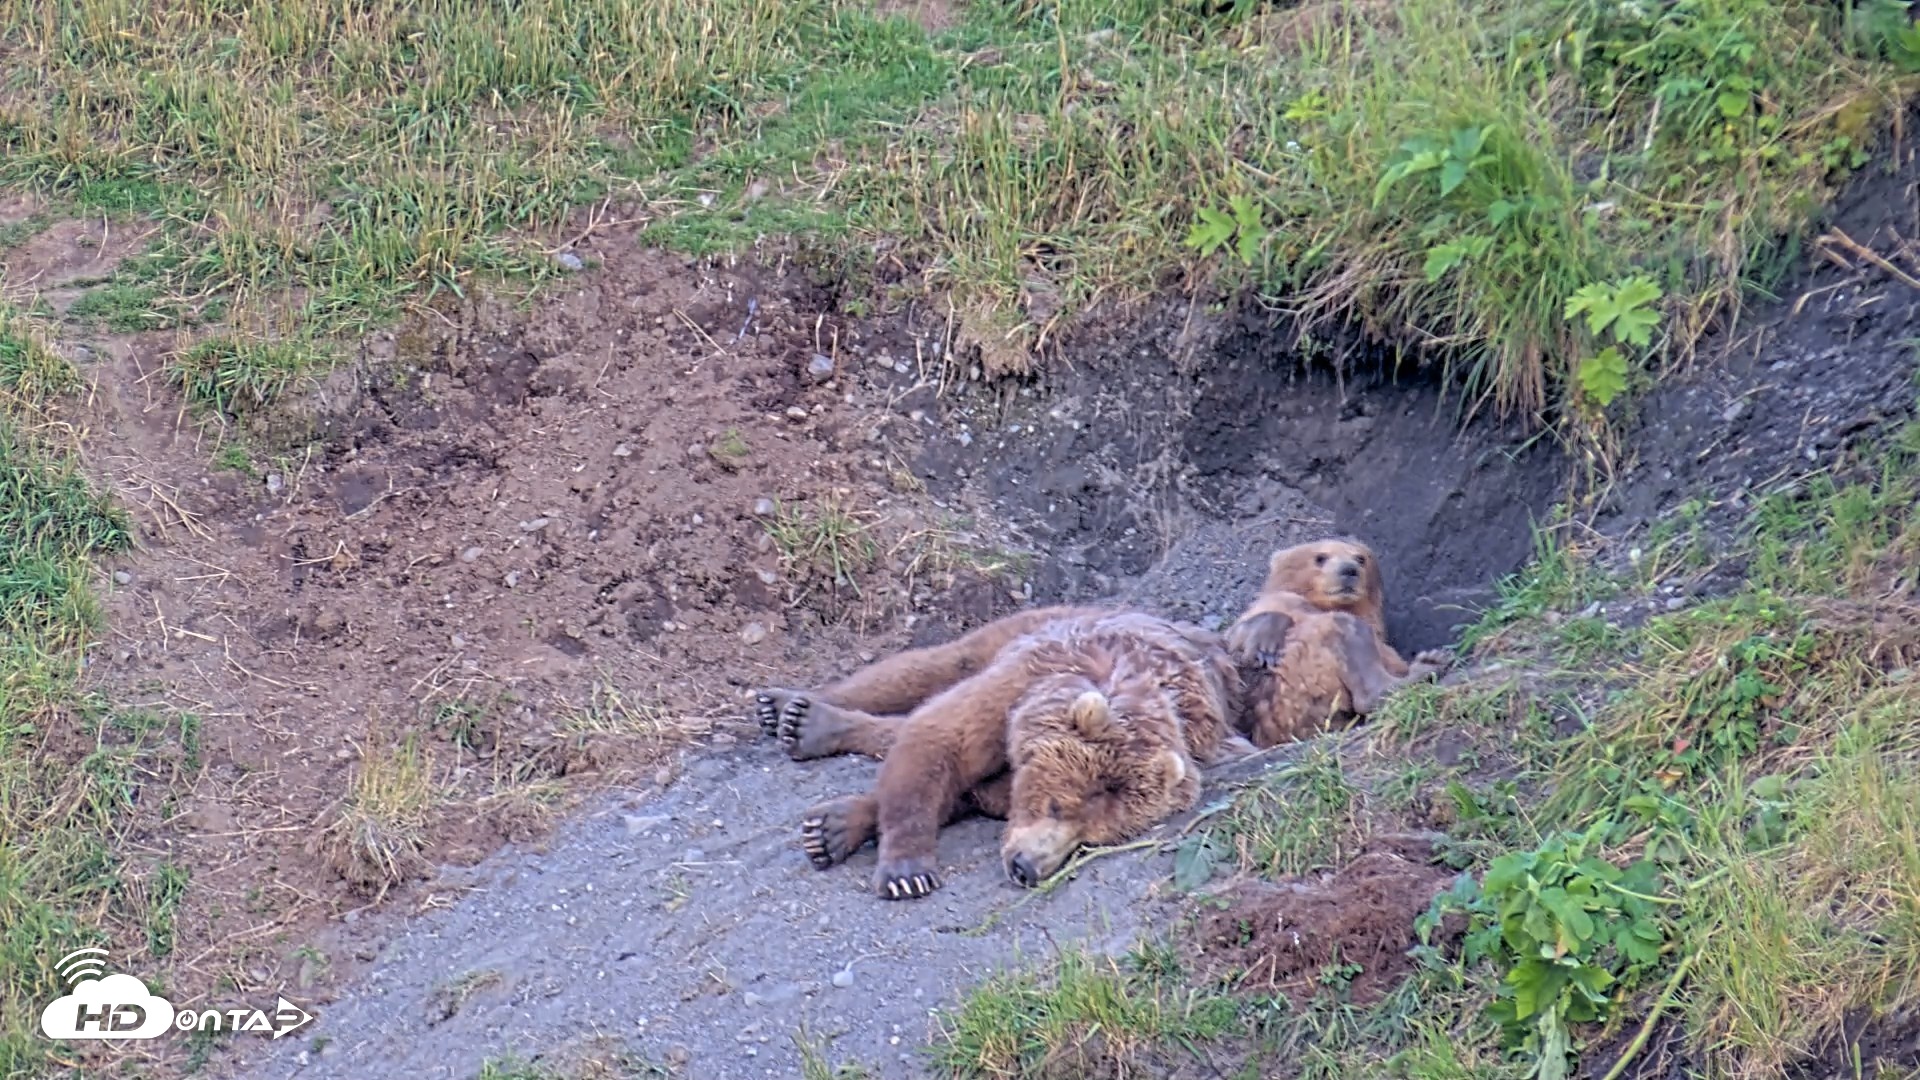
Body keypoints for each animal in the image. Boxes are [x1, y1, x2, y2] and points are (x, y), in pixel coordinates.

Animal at [786, 608, 1258, 899]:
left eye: (1089, 840)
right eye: (1055, 804)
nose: (1025, 868)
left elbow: (967, 788)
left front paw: (842, 825)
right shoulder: (1020, 684)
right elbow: (937, 738)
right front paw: (907, 872)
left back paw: (830, 824)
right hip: (1024, 627)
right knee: (933, 666)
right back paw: (799, 712)